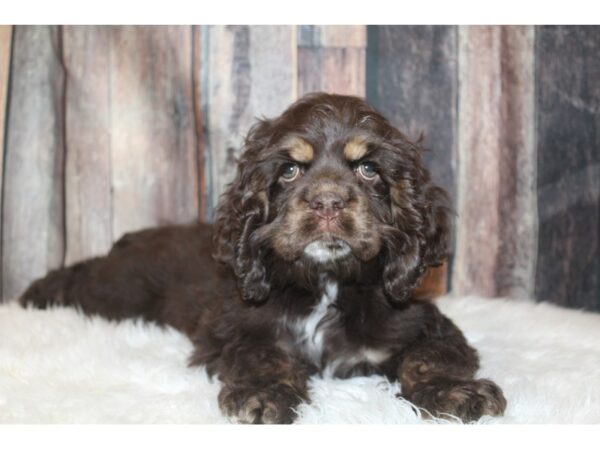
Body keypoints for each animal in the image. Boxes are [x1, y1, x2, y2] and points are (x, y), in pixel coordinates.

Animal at [19, 93, 506, 424]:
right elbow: (263, 355)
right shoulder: (237, 325)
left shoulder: (422, 323)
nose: (328, 203)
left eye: (368, 169)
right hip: (118, 290)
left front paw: (456, 393)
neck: (325, 282)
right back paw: (35, 293)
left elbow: (428, 357)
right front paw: (264, 396)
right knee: (83, 276)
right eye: (289, 170)